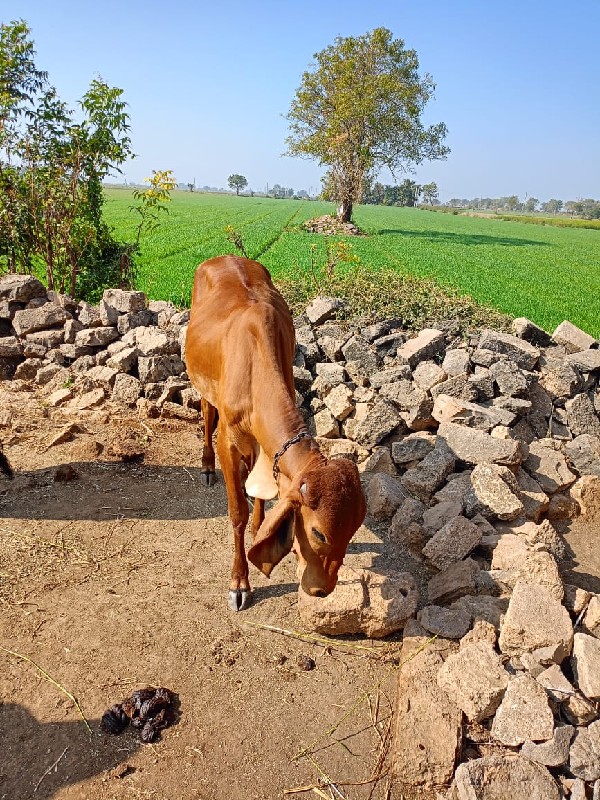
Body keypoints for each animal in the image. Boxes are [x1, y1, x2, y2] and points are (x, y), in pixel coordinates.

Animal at [186, 256, 366, 612]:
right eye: (319, 533)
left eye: (354, 530)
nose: (323, 589)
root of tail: (223, 257)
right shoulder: (229, 439)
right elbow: (237, 512)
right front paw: (239, 583)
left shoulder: (266, 446)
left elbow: (262, 488)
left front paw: (260, 525)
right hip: (203, 385)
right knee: (207, 412)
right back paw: (207, 466)